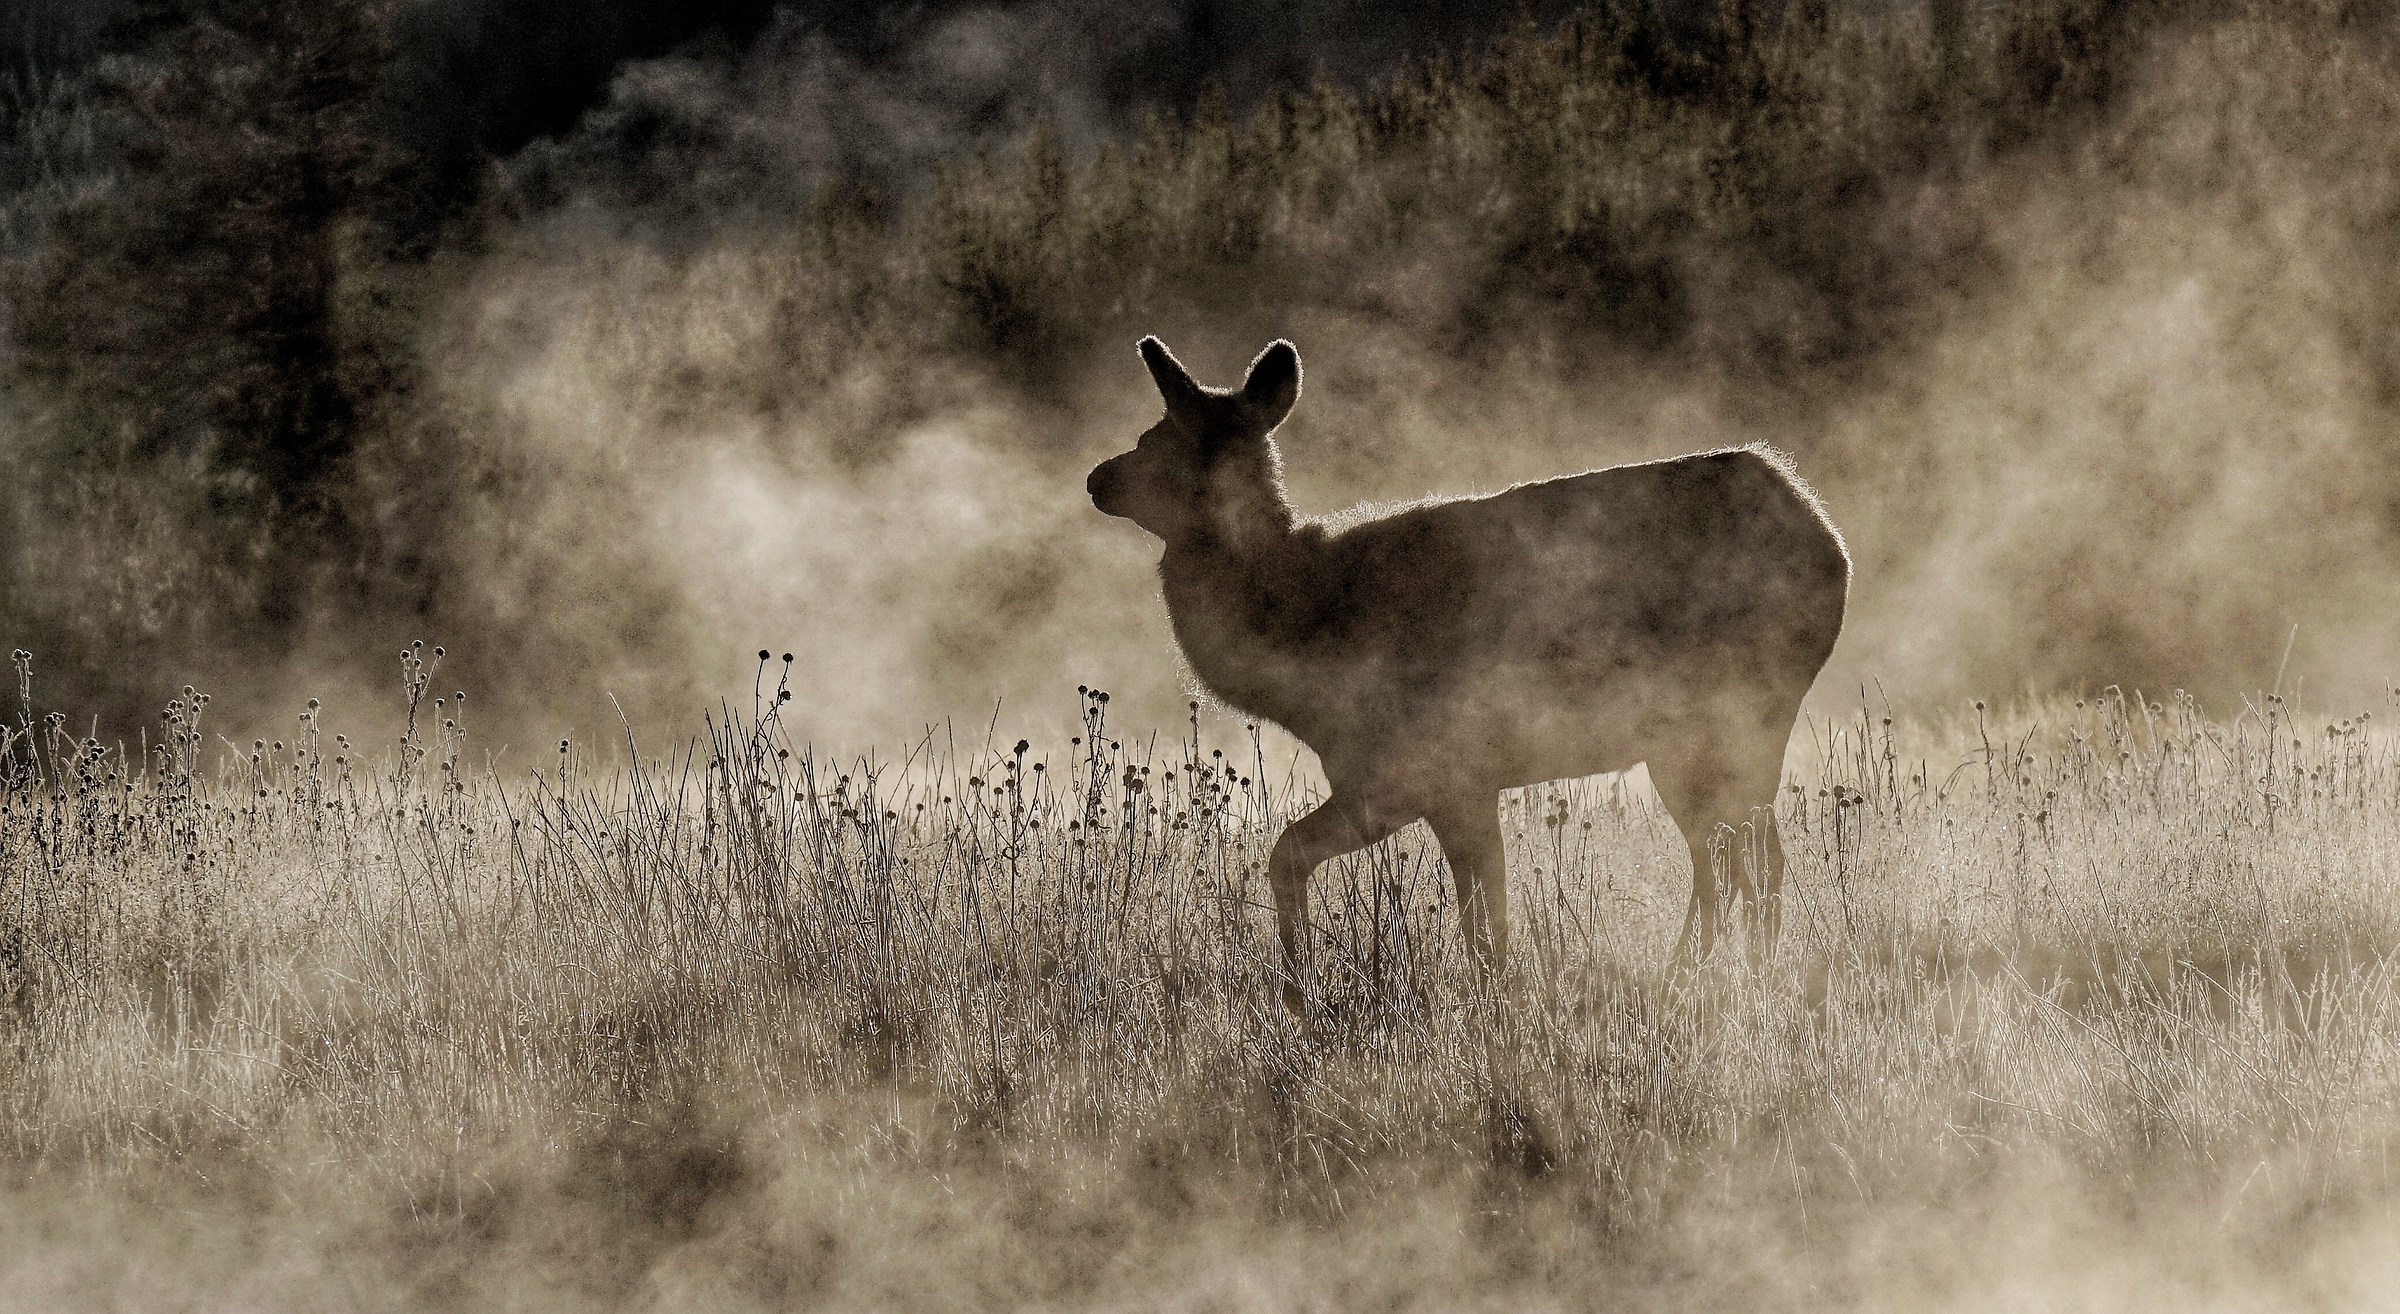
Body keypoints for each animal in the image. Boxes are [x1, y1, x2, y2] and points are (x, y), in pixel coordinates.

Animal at [1088, 336, 1850, 1010]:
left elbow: (1300, 858)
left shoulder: (1411, 769)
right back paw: (1711, 976)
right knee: (1738, 856)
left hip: (1724, 715)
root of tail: (1827, 540)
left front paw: (1300, 992)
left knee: (1743, 858)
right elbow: (1487, 917)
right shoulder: (1449, 781)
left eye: (1158, 439)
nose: (1098, 478)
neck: (1306, 630)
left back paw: (1714, 980)